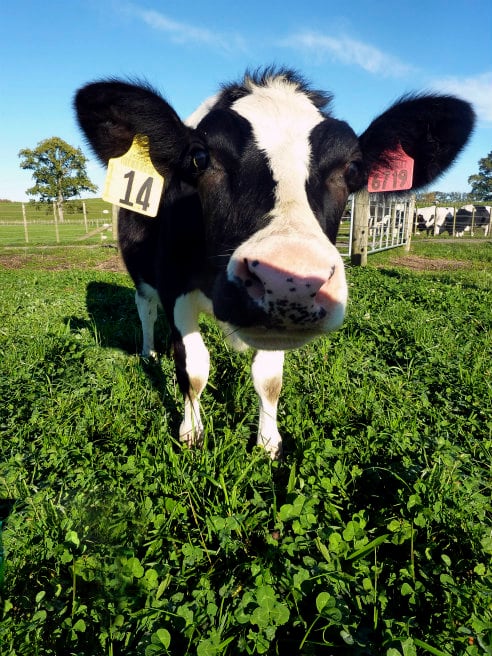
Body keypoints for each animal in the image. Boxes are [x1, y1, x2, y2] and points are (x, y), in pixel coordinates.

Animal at [75, 66, 474, 456]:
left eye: (353, 169)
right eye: (200, 158)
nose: (290, 281)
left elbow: (269, 379)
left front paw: (268, 442)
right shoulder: (175, 287)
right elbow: (193, 368)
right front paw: (192, 434)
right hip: (141, 273)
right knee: (145, 309)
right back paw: (148, 352)